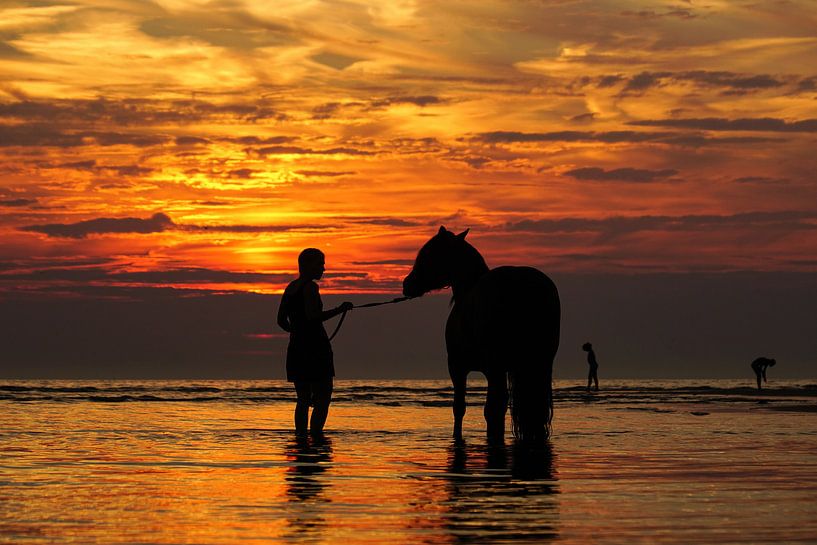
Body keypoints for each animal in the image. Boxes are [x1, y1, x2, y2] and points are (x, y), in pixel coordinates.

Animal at [404, 225, 560, 442]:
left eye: (428, 254)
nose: (407, 284)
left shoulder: (458, 367)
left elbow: (460, 408)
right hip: (539, 362)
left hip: (496, 365)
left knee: (496, 406)